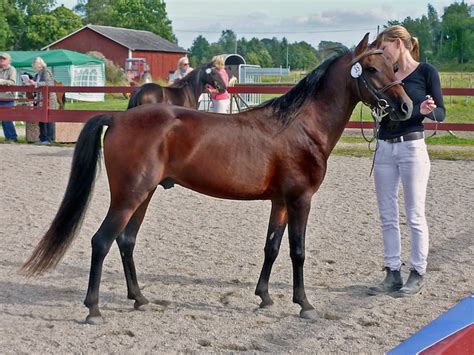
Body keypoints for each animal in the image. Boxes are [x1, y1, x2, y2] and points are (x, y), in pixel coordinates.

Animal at [22, 34, 412, 326]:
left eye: (394, 66)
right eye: (372, 68)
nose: (406, 107)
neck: (300, 126)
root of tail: (117, 118)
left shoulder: (280, 201)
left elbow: (271, 247)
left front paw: (264, 297)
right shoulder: (300, 199)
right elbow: (297, 252)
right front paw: (304, 304)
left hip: (143, 196)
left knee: (126, 241)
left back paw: (140, 298)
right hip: (129, 196)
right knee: (101, 241)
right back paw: (94, 309)